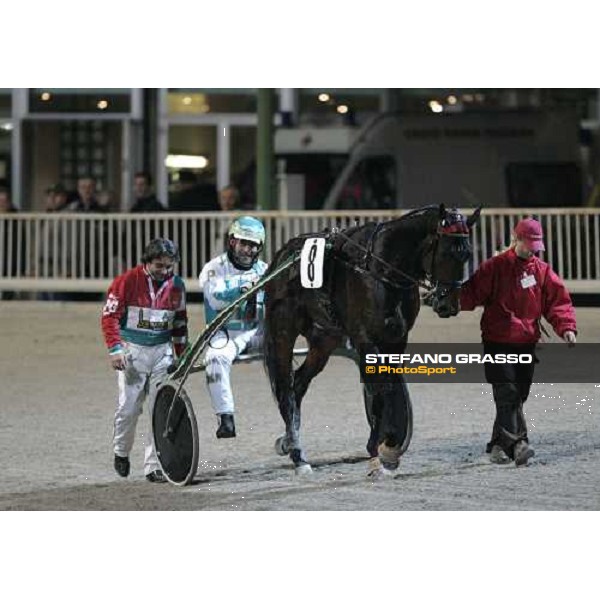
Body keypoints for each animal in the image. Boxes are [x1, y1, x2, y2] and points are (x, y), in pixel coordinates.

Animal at [262, 204, 482, 476]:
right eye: (446, 252)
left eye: (467, 254)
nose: (447, 304)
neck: (380, 269)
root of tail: (282, 256)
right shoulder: (366, 339)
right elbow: (379, 388)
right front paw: (380, 449)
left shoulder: (397, 340)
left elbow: (388, 385)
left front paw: (389, 445)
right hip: (282, 331)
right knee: (285, 389)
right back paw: (296, 453)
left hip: (324, 338)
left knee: (299, 384)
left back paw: (292, 445)